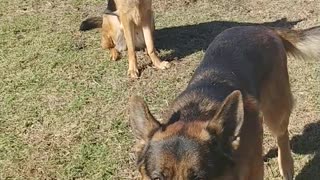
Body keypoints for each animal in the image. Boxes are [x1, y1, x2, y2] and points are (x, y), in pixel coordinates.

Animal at [128, 24, 320, 179]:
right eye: (157, 178)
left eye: (198, 179)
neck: (195, 114)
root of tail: (263, 28)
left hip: (275, 111)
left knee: (282, 134)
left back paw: (286, 166)